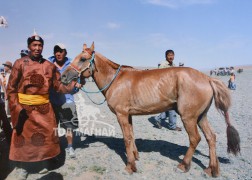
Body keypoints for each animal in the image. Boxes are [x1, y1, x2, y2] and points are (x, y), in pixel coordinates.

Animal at [61, 42, 240, 177]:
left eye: (83, 58)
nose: (63, 77)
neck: (115, 80)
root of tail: (207, 78)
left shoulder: (121, 114)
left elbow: (126, 138)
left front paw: (130, 166)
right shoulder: (129, 115)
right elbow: (131, 136)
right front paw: (135, 156)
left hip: (189, 117)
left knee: (195, 139)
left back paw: (183, 165)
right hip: (201, 116)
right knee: (211, 137)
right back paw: (211, 169)